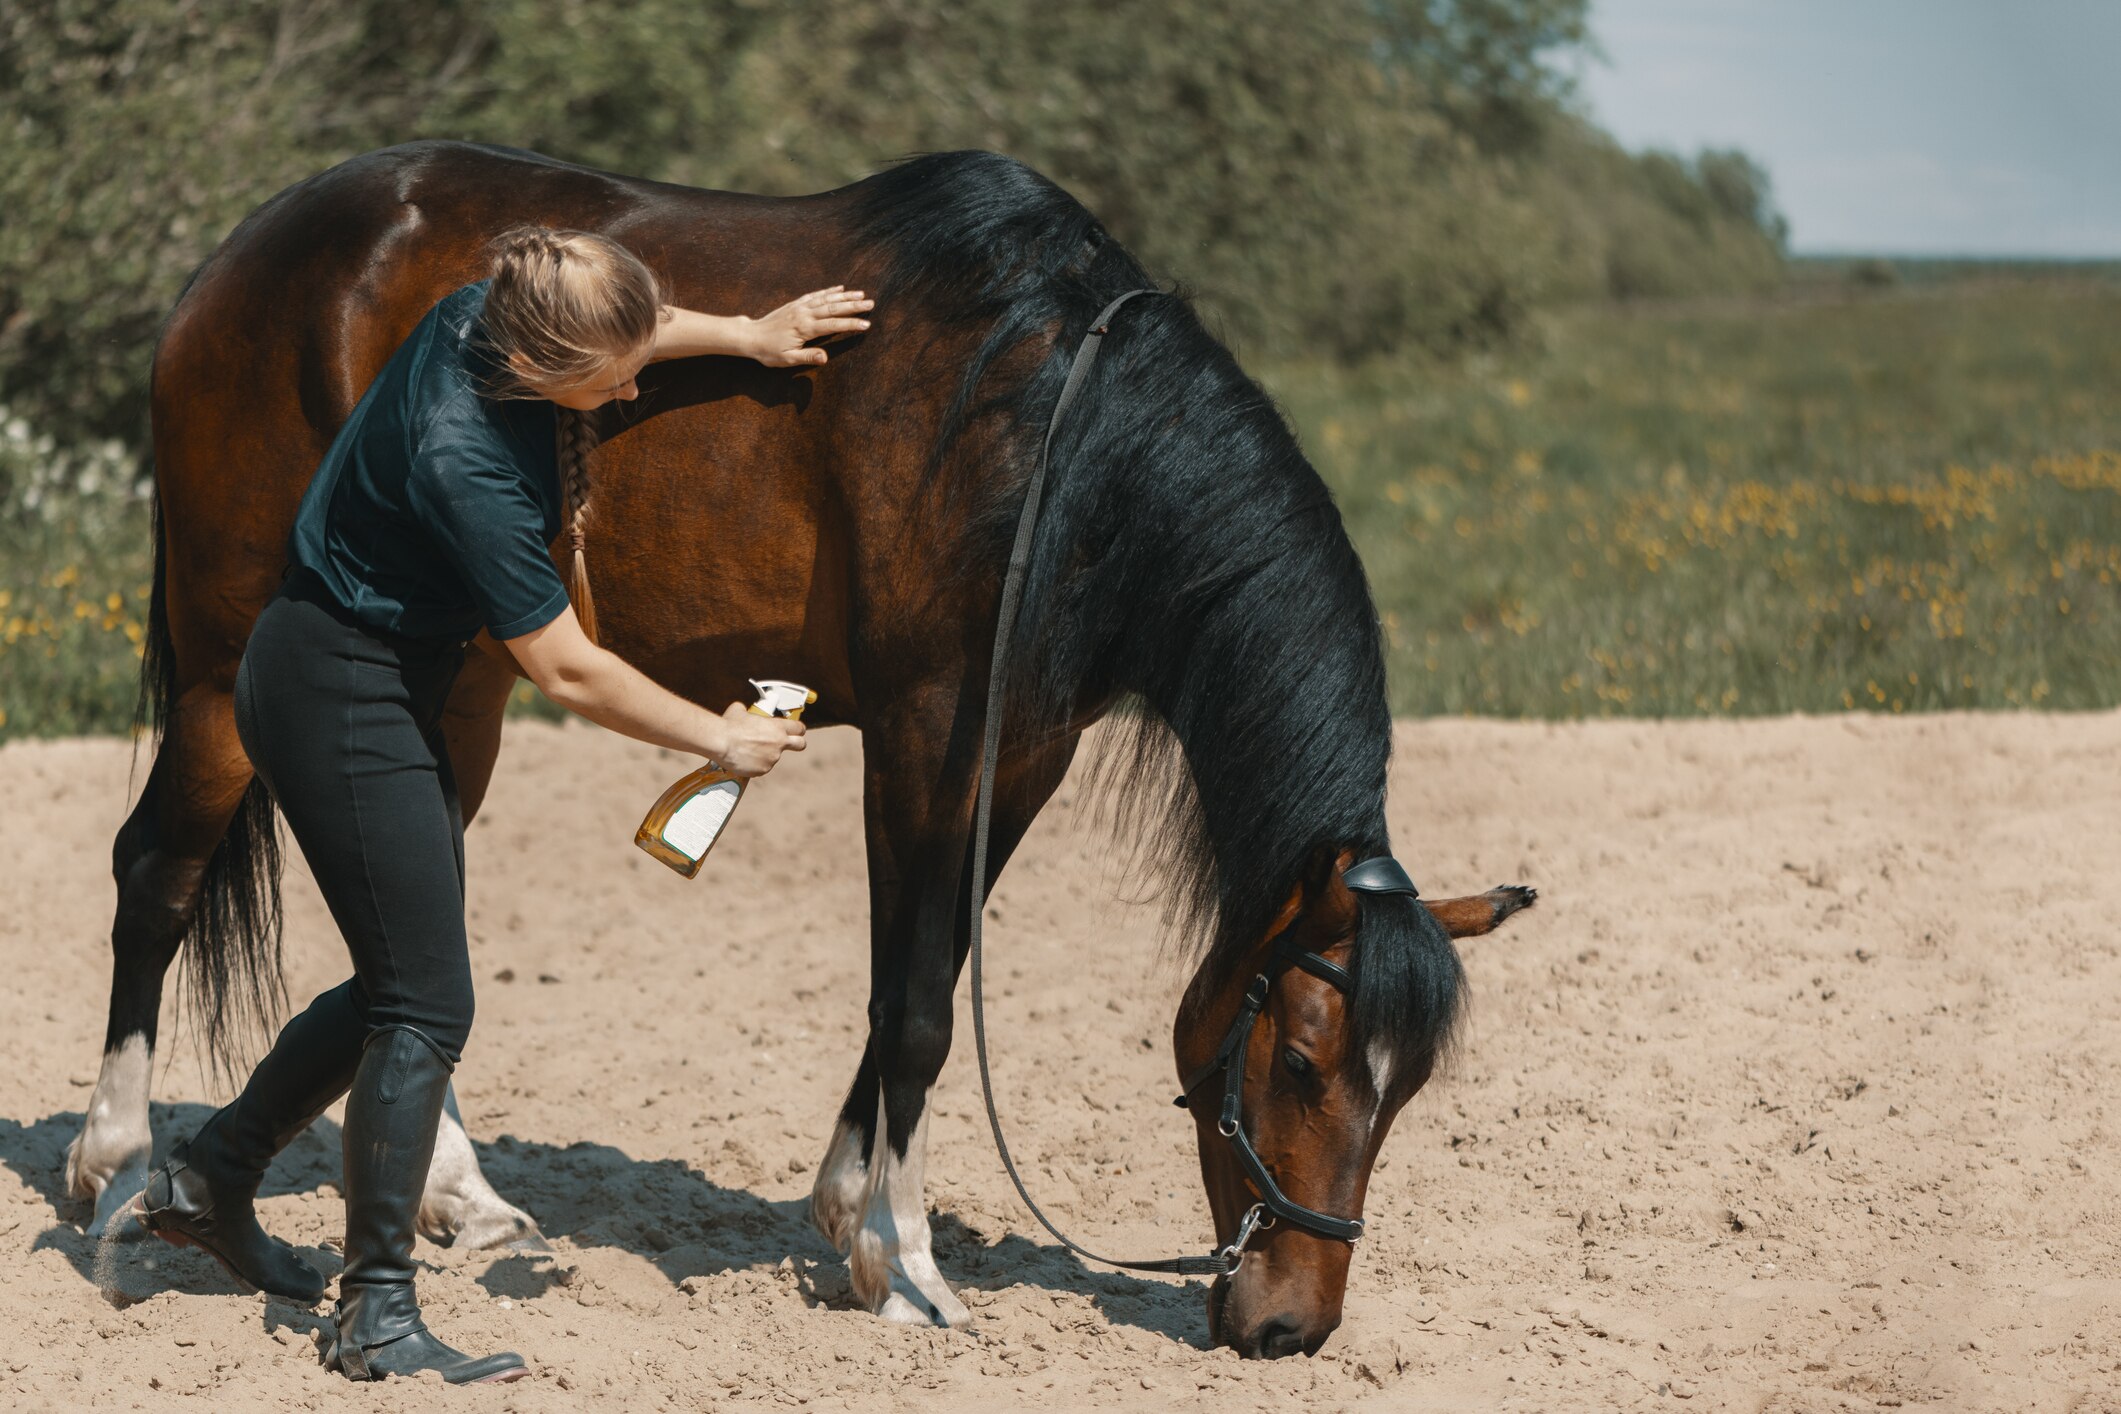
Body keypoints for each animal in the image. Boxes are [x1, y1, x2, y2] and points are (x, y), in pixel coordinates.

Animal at [62, 144, 1527, 1356]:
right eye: (1300, 1062)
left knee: (397, 928)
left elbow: (919, 972)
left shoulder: (1022, 750)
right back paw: (116, 1163)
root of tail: (238, 257)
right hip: (224, 663)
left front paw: (843, 1216)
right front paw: (908, 1262)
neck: (1053, 434)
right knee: (156, 873)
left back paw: (459, 1197)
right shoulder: (928, 728)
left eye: (1406, 1089)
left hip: (458, 680)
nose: (1289, 1325)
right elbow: (918, 1003)